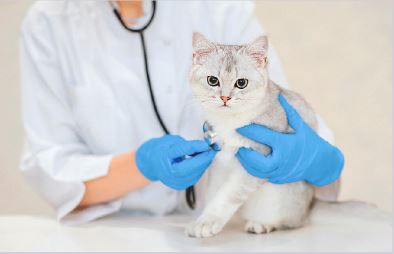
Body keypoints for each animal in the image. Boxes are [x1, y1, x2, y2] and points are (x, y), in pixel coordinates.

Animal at [186, 32, 318, 238]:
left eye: (241, 83)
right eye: (212, 80)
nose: (225, 98)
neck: (230, 123)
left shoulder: (257, 159)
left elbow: (227, 196)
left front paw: (208, 221)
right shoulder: (219, 163)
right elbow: (214, 193)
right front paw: (204, 218)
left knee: (290, 223)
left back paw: (261, 224)